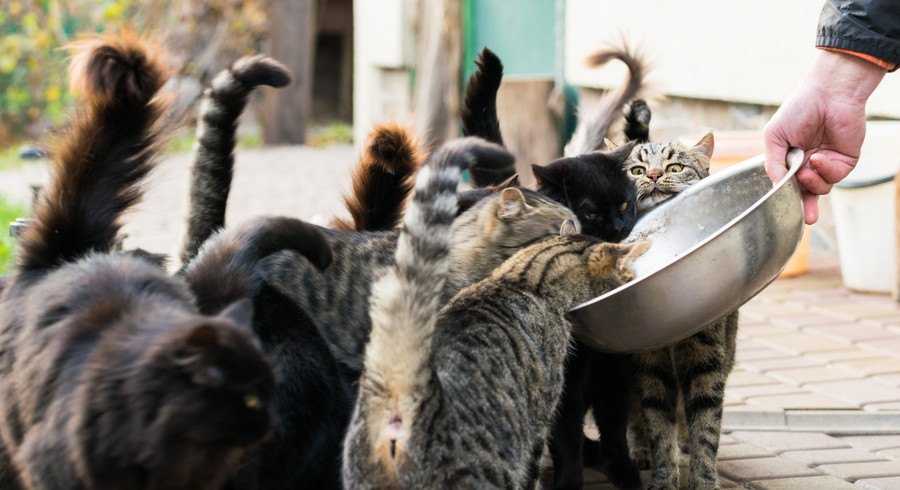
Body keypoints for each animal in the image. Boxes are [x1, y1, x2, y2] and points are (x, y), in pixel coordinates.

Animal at [342, 133, 652, 486]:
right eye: (592, 214)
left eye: (625, 205)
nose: (619, 229)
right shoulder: (559, 386)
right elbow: (564, 439)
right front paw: (570, 480)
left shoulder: (609, 365)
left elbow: (613, 423)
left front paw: (624, 471)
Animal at [608, 101, 736, 488]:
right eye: (636, 170)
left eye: (674, 167)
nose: (651, 175)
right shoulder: (648, 364)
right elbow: (656, 423)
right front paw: (664, 477)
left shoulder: (706, 359)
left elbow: (706, 425)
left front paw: (704, 479)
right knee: (636, 415)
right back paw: (640, 451)